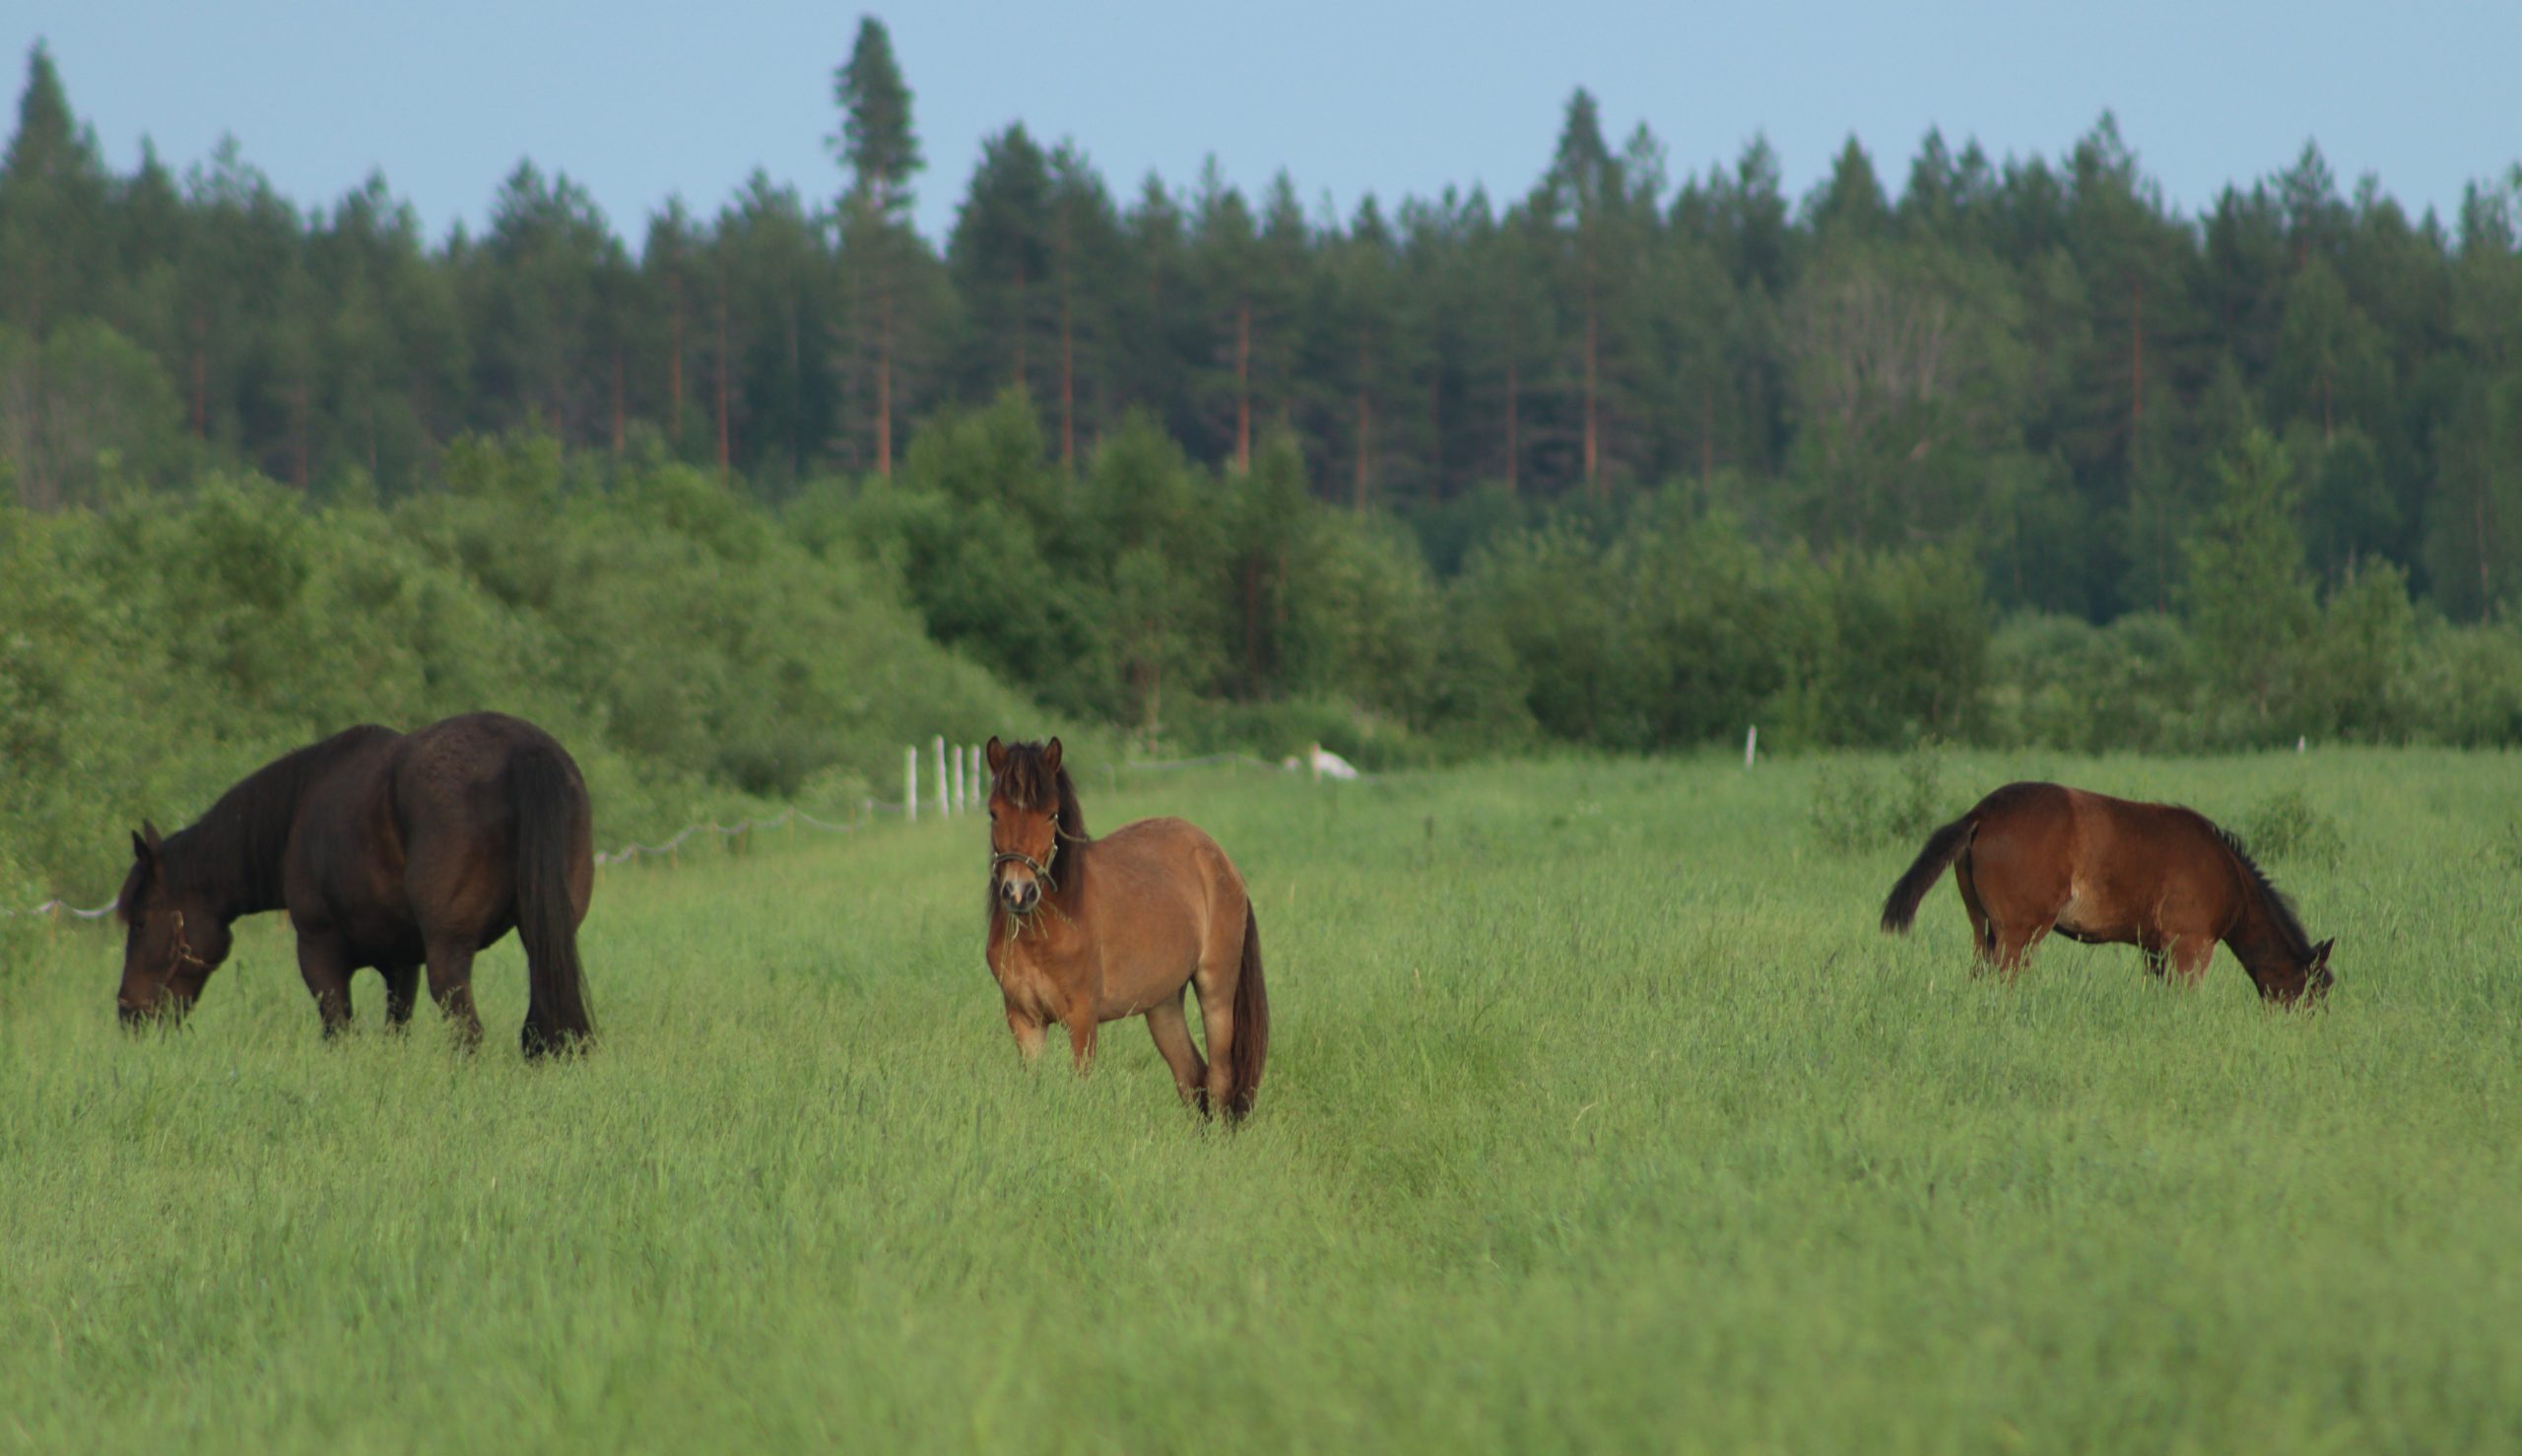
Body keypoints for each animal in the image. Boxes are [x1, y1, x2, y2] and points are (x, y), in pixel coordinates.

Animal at [117, 711, 595, 1049]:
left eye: (140, 921)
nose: (128, 1013)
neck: (298, 809)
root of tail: (524, 751)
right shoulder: (402, 963)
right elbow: (395, 1031)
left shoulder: (319, 954)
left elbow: (339, 1033)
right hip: (545, 935)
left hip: (450, 952)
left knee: (468, 1033)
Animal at [978, 736, 1271, 1125]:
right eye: (994, 812)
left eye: (1052, 814)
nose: (1018, 892)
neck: (1042, 934)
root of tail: (1220, 860)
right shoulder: (1024, 1020)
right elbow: (1034, 1088)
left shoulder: (1082, 1019)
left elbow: (1079, 1087)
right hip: (1163, 1003)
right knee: (1191, 1075)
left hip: (1217, 991)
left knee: (1220, 1078)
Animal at [1886, 776, 2330, 1004]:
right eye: (2314, 991)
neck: (2228, 875)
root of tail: (1981, 814)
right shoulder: (2191, 944)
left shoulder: (2156, 948)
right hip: (2019, 931)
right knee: (2006, 977)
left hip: (1983, 927)